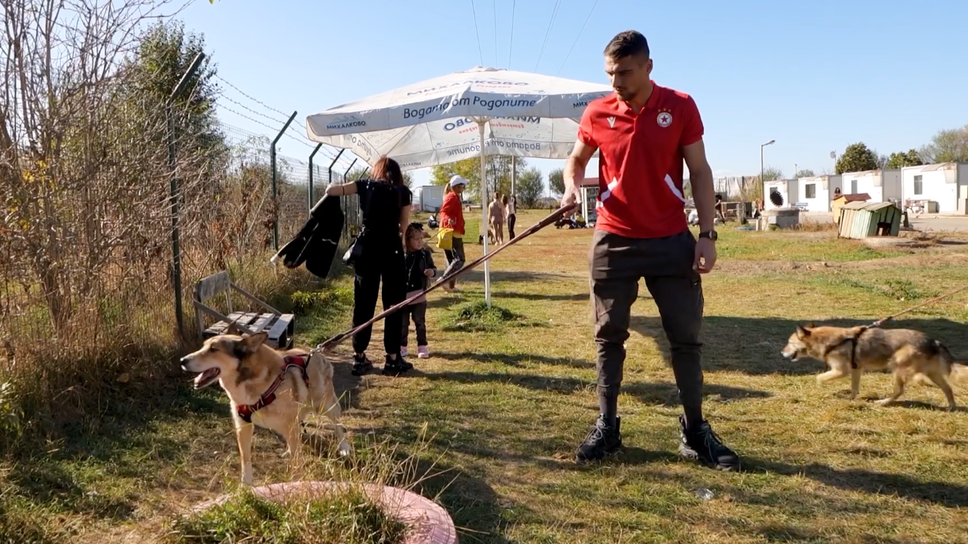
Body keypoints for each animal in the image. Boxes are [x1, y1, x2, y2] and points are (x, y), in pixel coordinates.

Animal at [179, 332, 352, 484]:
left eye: (214, 349)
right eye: (204, 346)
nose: (182, 360)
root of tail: (317, 352)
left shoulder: (289, 425)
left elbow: (296, 462)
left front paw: (296, 483)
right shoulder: (243, 426)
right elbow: (246, 460)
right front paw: (246, 486)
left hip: (324, 405)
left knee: (337, 424)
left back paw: (344, 446)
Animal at [780, 326, 968, 410]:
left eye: (789, 342)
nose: (782, 352)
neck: (828, 341)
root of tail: (933, 341)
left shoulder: (842, 370)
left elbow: (818, 377)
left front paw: (820, 390)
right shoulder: (856, 369)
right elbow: (854, 388)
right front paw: (851, 399)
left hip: (897, 367)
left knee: (899, 391)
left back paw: (883, 402)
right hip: (931, 373)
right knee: (948, 388)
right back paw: (951, 407)